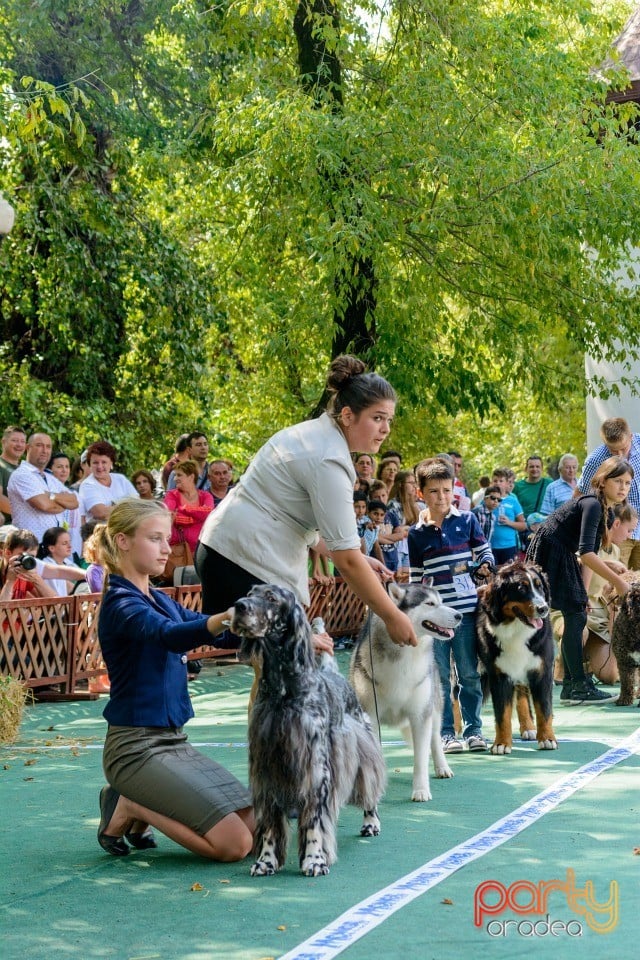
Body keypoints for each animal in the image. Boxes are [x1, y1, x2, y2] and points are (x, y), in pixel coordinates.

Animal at [232, 580, 388, 872]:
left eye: (271, 597)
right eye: (249, 594)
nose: (238, 606)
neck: (283, 691)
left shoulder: (316, 768)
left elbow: (314, 820)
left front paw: (314, 859)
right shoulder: (265, 766)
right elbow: (269, 824)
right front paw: (265, 861)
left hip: (362, 748)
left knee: (369, 789)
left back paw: (371, 822)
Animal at [348, 580, 462, 800]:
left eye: (441, 601)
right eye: (430, 603)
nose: (459, 615)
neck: (406, 652)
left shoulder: (420, 715)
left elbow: (421, 758)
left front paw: (421, 790)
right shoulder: (371, 715)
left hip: (435, 707)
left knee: (435, 740)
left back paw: (442, 767)